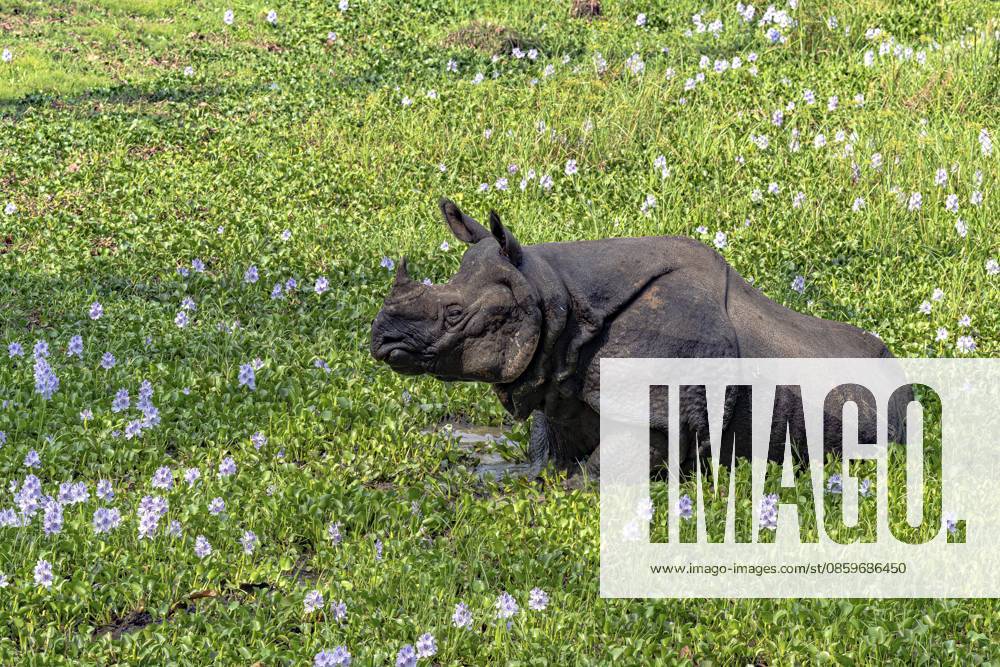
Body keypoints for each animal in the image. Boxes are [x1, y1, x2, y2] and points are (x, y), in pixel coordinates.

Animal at [371, 199, 906, 480]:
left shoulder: (663, 401)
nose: (380, 339)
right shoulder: (557, 373)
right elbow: (549, 443)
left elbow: (604, 468)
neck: (554, 296)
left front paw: (573, 487)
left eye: (455, 315)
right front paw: (511, 477)